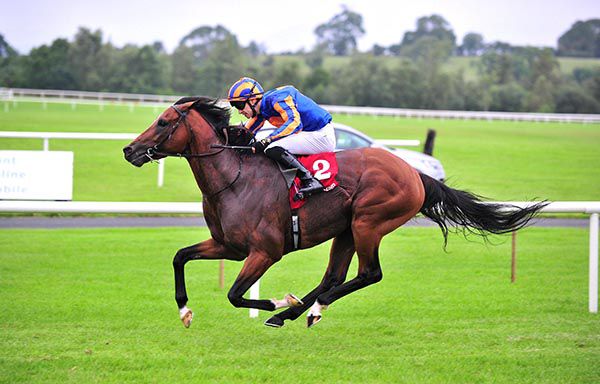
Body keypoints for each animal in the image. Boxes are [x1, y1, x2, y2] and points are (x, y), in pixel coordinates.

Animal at [124, 97, 548, 328]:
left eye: (163, 122)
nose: (130, 150)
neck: (234, 178)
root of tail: (415, 173)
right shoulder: (227, 245)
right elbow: (180, 257)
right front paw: (185, 311)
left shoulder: (265, 251)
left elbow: (234, 294)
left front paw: (276, 301)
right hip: (345, 229)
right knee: (334, 276)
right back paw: (296, 312)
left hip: (368, 222)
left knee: (368, 274)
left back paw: (306, 309)